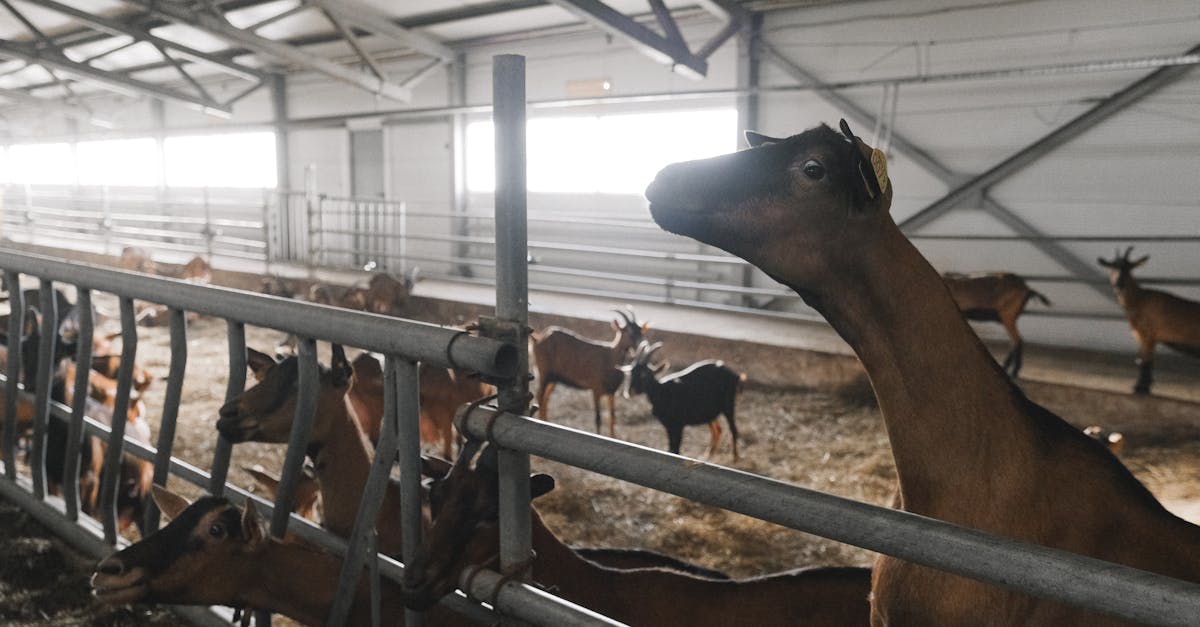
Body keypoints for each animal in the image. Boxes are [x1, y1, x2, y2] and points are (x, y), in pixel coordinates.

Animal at [1098, 247, 1200, 394]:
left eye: (1129, 268)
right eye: (1112, 267)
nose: (1118, 285)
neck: (1140, 299)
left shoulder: (1148, 334)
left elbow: (1145, 362)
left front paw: (1140, 388)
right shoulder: (1145, 336)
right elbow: (1144, 360)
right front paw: (1145, 386)